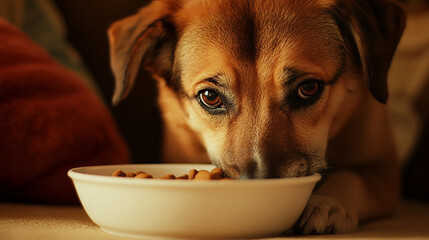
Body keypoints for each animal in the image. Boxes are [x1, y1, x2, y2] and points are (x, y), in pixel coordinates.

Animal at [107, 0, 404, 234]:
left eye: (308, 88)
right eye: (210, 96)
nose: (261, 189)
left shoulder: (384, 172)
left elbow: (351, 178)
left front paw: (327, 203)